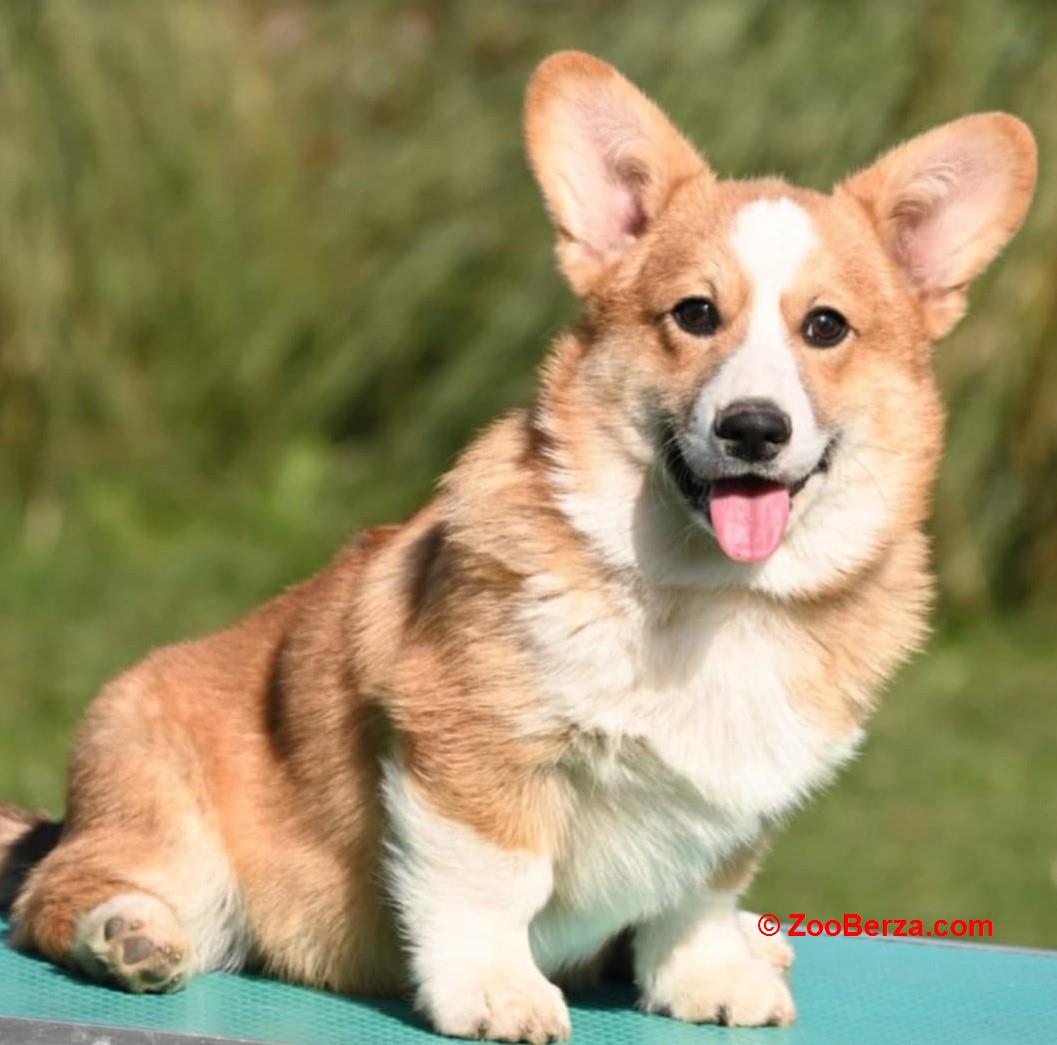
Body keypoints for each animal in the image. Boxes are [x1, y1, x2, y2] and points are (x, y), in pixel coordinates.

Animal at [0, 50, 1035, 1043]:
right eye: (695, 314)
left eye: (825, 327)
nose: (752, 428)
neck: (706, 593)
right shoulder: (472, 753)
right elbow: (496, 886)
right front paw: (494, 992)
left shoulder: (737, 797)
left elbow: (698, 895)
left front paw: (707, 975)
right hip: (159, 798)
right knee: (55, 891)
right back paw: (126, 932)